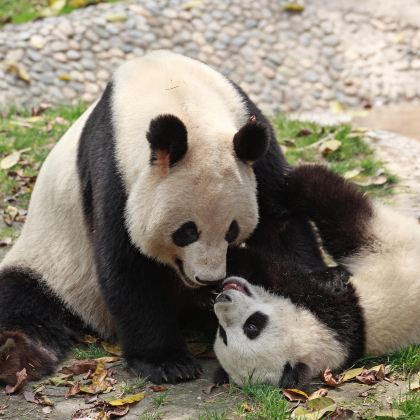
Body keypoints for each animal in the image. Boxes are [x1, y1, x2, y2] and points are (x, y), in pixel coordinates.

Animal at [0, 50, 324, 386]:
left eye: (231, 231)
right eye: (186, 232)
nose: (208, 279)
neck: (176, 94)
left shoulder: (250, 132)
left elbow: (279, 220)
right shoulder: (112, 170)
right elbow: (127, 262)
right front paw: (167, 363)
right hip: (56, 266)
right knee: (24, 299)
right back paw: (17, 354)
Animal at [215, 164, 420, 388]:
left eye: (252, 325)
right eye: (223, 334)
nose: (223, 298)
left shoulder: (329, 308)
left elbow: (276, 270)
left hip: (383, 245)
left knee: (340, 208)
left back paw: (292, 181)